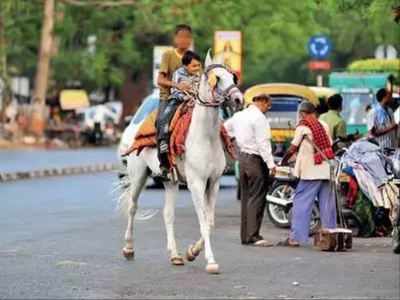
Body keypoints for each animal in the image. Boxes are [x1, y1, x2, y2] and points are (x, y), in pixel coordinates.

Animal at [118, 53, 244, 274]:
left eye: (232, 77)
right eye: (217, 78)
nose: (238, 99)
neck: (205, 137)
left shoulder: (214, 182)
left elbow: (209, 222)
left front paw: (192, 252)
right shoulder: (196, 183)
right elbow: (203, 221)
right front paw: (211, 261)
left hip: (170, 181)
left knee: (168, 214)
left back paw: (175, 255)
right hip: (138, 175)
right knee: (133, 207)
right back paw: (128, 248)